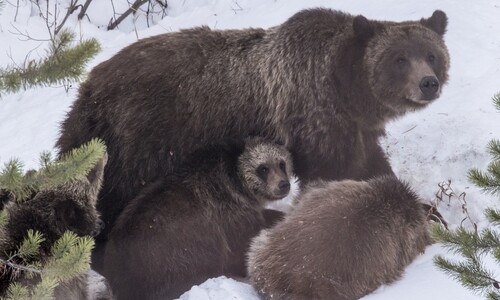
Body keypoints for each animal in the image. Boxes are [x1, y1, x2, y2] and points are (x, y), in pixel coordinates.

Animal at [56, 7, 452, 264]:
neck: (347, 91)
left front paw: (429, 210)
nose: (428, 83)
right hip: (141, 139)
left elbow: (371, 165)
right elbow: (336, 174)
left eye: (431, 54)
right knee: (114, 197)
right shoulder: (314, 117)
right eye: (399, 59)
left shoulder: (352, 128)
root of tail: (88, 87)